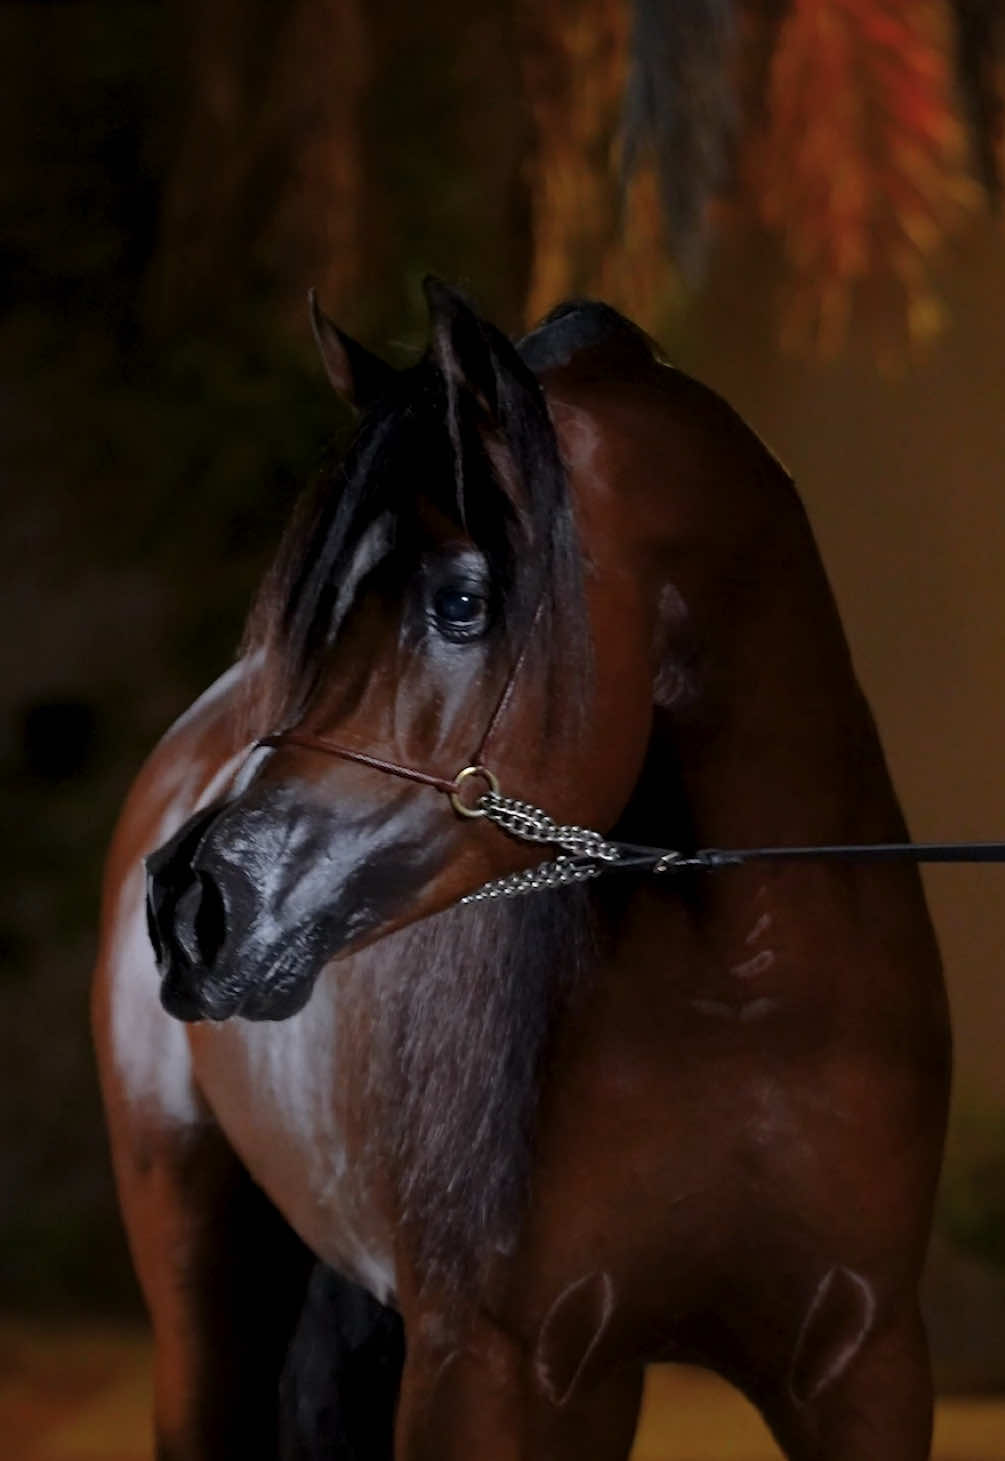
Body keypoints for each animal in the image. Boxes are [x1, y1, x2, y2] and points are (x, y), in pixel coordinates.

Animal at [91, 280, 951, 1461]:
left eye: (462, 600)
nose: (192, 905)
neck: (746, 997)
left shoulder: (866, 1369)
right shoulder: (480, 1370)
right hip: (200, 1286)